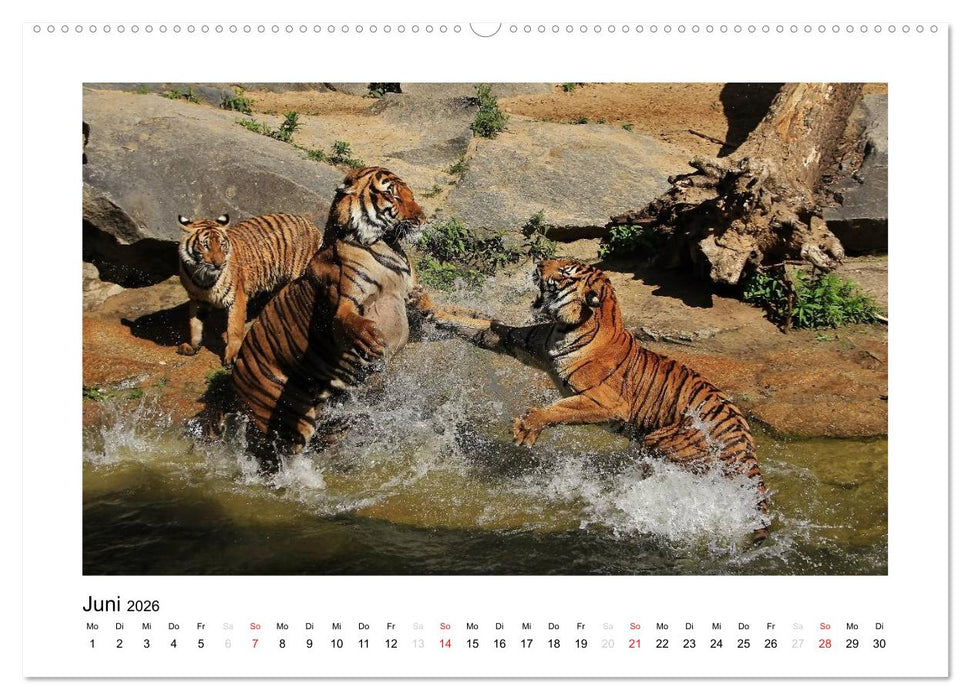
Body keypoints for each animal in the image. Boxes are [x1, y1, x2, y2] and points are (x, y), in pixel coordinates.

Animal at [177, 212, 323, 366]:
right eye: (205, 245)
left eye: (222, 244)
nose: (219, 264)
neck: (203, 277)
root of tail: (310, 224)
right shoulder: (197, 299)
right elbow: (194, 324)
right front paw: (192, 346)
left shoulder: (236, 298)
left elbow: (234, 329)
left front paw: (231, 356)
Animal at [230, 167, 429, 458]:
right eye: (392, 194)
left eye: (411, 194)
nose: (422, 219)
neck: (387, 245)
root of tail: (235, 379)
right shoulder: (345, 300)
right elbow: (348, 319)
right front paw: (370, 339)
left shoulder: (409, 290)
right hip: (287, 421)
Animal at [419, 258, 770, 542]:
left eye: (565, 271)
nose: (538, 263)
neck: (566, 327)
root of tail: (744, 441)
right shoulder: (522, 340)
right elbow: (480, 326)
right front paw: (424, 304)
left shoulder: (608, 403)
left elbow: (561, 410)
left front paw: (528, 426)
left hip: (665, 444)